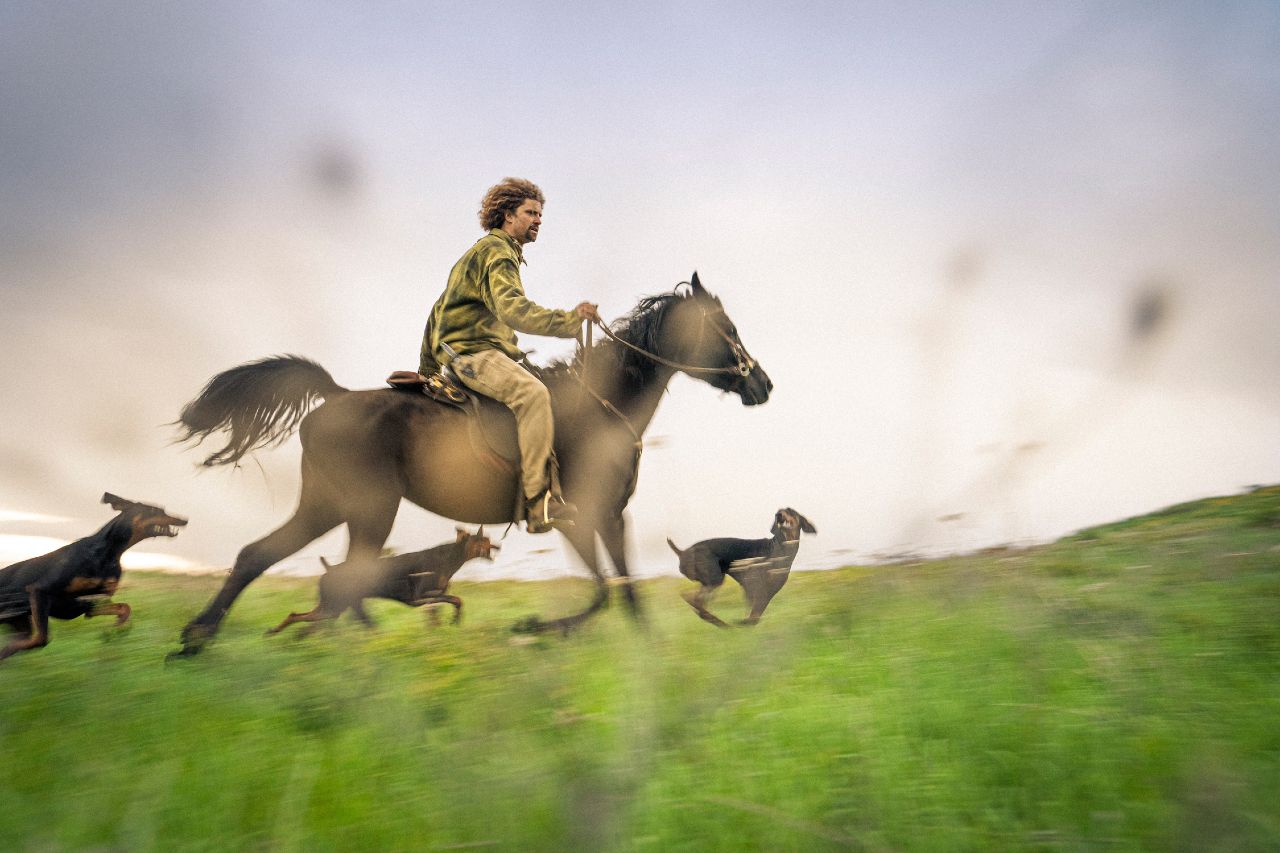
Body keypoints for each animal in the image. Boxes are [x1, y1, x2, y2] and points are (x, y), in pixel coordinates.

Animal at [0, 489, 188, 660]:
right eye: (155, 510)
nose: (185, 519)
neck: (109, 553)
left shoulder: (91, 604)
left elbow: (124, 608)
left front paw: (118, 628)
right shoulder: (39, 591)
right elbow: (42, 638)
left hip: (20, 622)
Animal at [262, 522, 496, 635]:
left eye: (487, 539)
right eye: (481, 540)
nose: (497, 546)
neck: (448, 558)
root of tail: (329, 570)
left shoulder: (430, 599)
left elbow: (445, 609)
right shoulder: (419, 598)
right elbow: (457, 600)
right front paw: (454, 621)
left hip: (333, 608)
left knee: (300, 621)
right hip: (333, 607)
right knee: (298, 618)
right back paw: (278, 635)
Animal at [665, 504, 814, 625]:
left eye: (790, 510)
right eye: (778, 511)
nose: (778, 515)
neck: (780, 548)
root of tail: (682, 552)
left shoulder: (765, 592)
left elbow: (754, 616)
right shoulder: (755, 589)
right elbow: (753, 616)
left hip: (711, 582)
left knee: (697, 603)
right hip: (715, 579)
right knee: (692, 598)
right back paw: (722, 624)